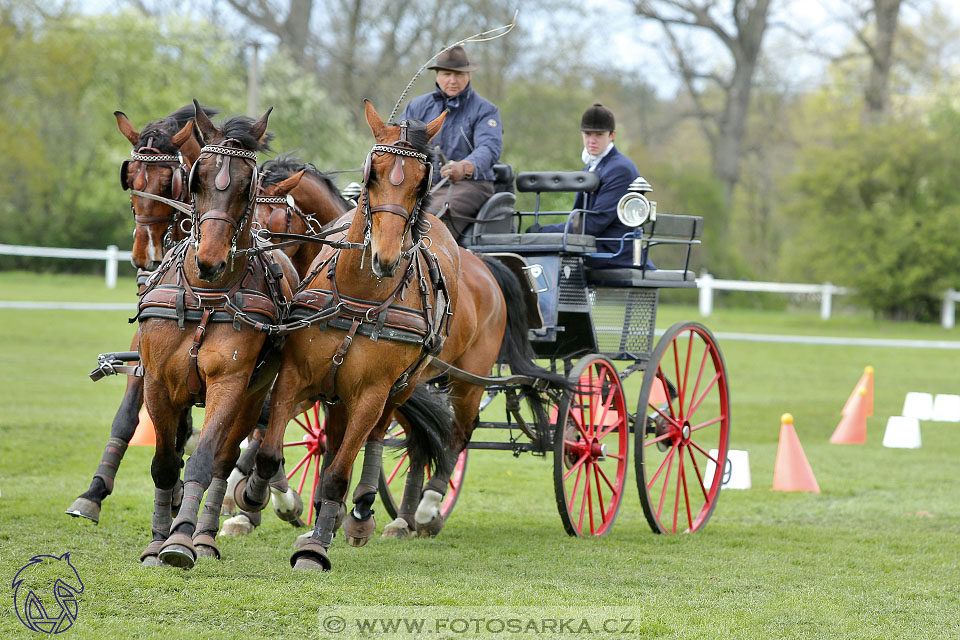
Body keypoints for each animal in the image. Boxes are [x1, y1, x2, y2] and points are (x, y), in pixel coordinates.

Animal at [65, 105, 218, 524]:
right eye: (130, 178)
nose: (144, 255)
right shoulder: (150, 345)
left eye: (171, 182)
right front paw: (94, 491)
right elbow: (129, 414)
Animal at [136, 102, 296, 568]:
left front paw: (181, 539)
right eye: (197, 178)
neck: (205, 295)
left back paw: (205, 536)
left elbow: (204, 462)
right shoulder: (157, 383)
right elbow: (165, 464)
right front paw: (157, 540)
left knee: (226, 460)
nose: (209, 260)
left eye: (247, 185)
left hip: (254, 393)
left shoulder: (230, 384)